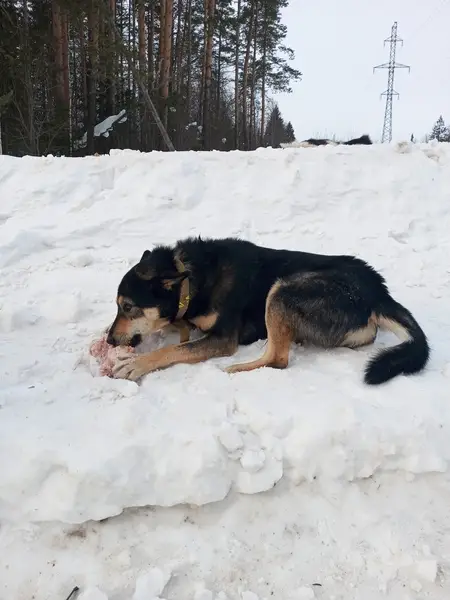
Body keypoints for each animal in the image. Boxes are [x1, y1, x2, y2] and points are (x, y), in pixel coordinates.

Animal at [107, 236, 429, 384]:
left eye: (128, 307)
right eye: (117, 307)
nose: (109, 341)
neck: (191, 277)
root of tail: (378, 290)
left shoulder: (223, 338)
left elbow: (171, 350)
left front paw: (136, 364)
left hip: (282, 290)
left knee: (278, 359)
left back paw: (236, 368)